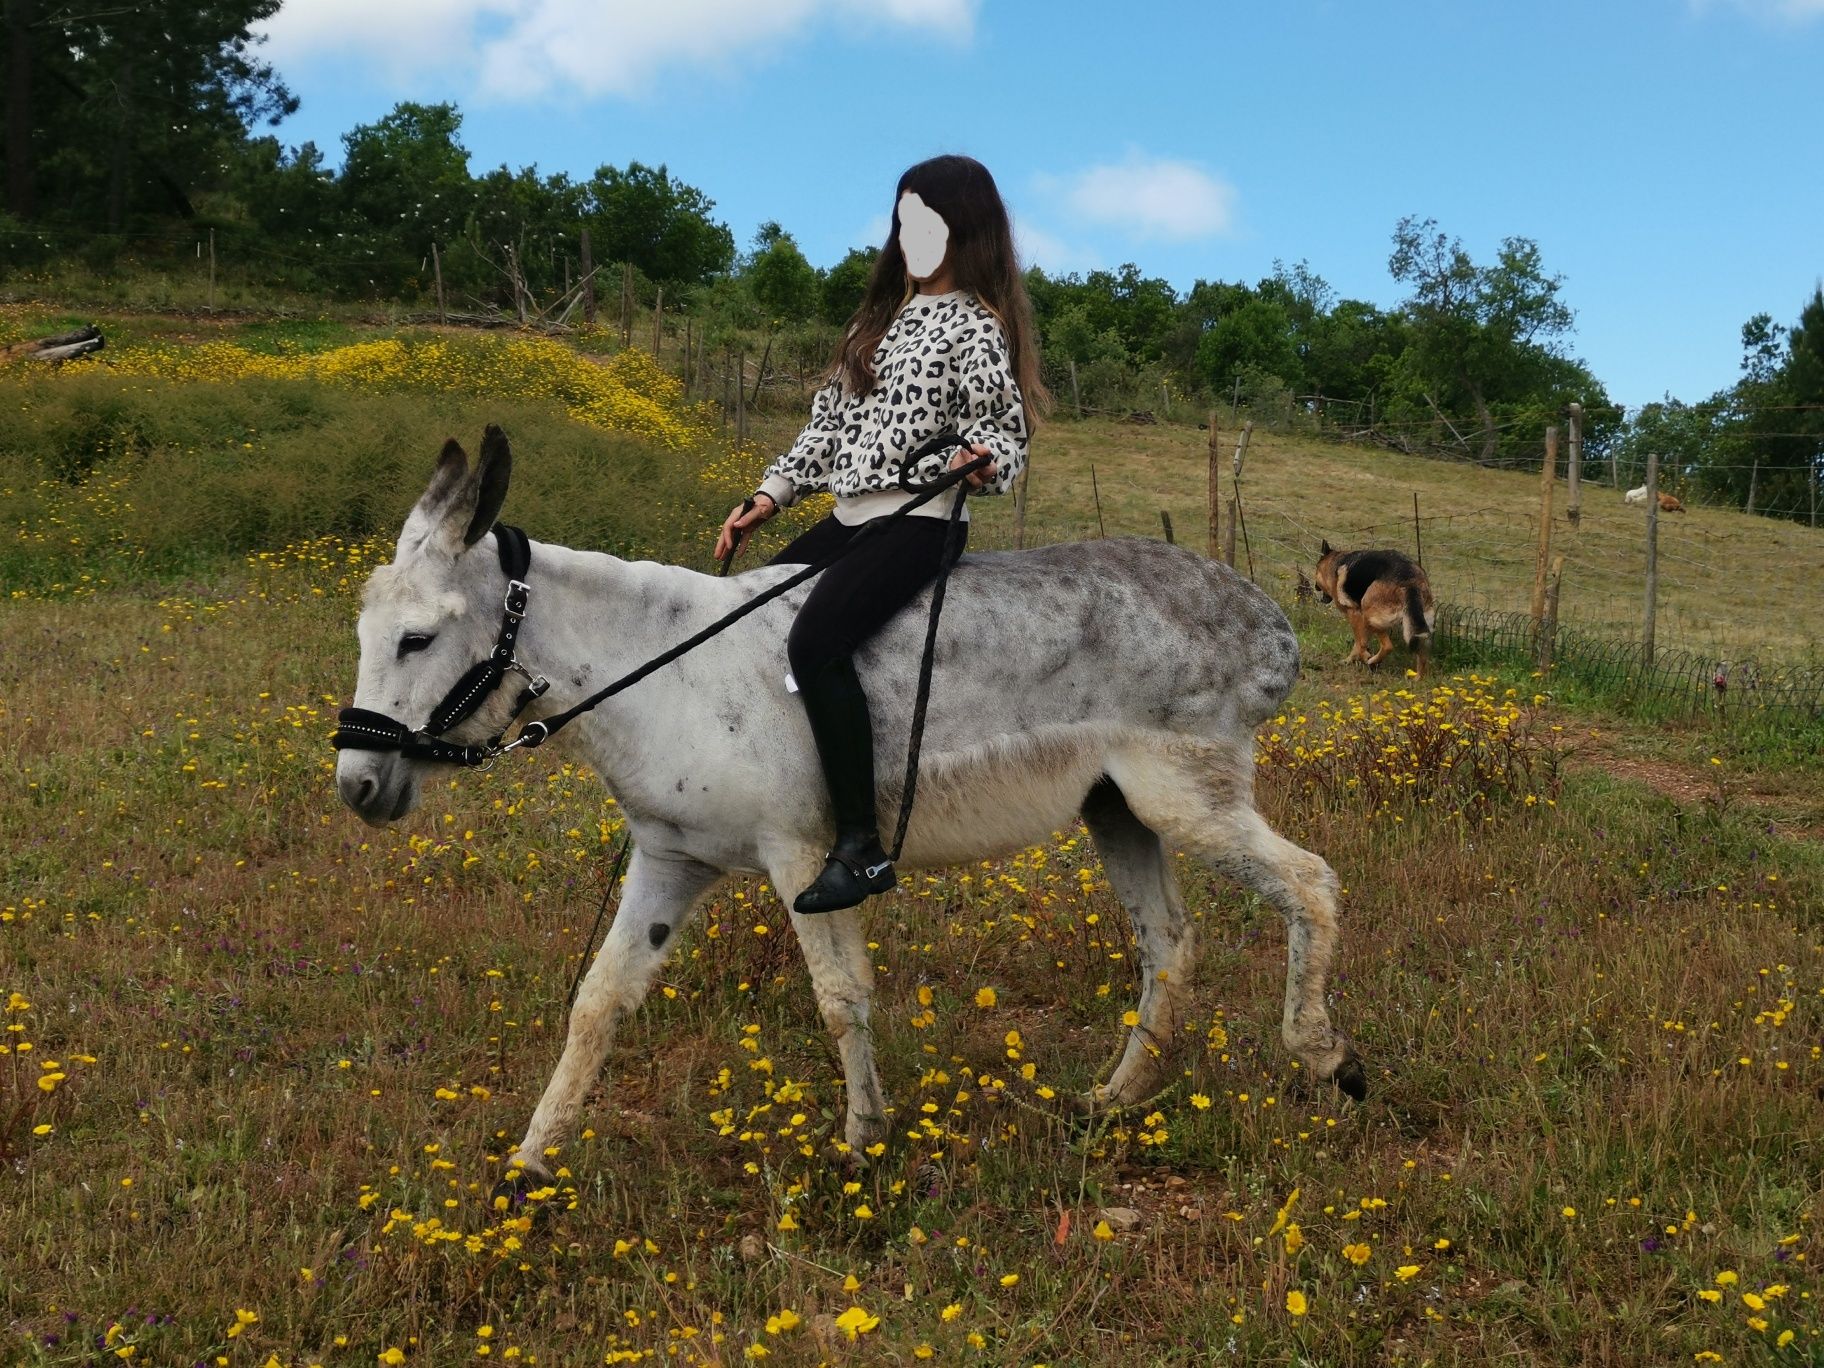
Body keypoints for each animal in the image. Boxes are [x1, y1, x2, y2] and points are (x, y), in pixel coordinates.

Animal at [1320, 539, 1430, 682]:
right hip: (1416, 626)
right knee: (1421, 652)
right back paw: (1417, 678)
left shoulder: (1354, 614)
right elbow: (1359, 643)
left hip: (1369, 614)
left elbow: (1360, 643)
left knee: (1387, 646)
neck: (1335, 561)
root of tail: (1410, 582)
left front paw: (1364, 657)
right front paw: (1350, 660)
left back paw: (1372, 661)